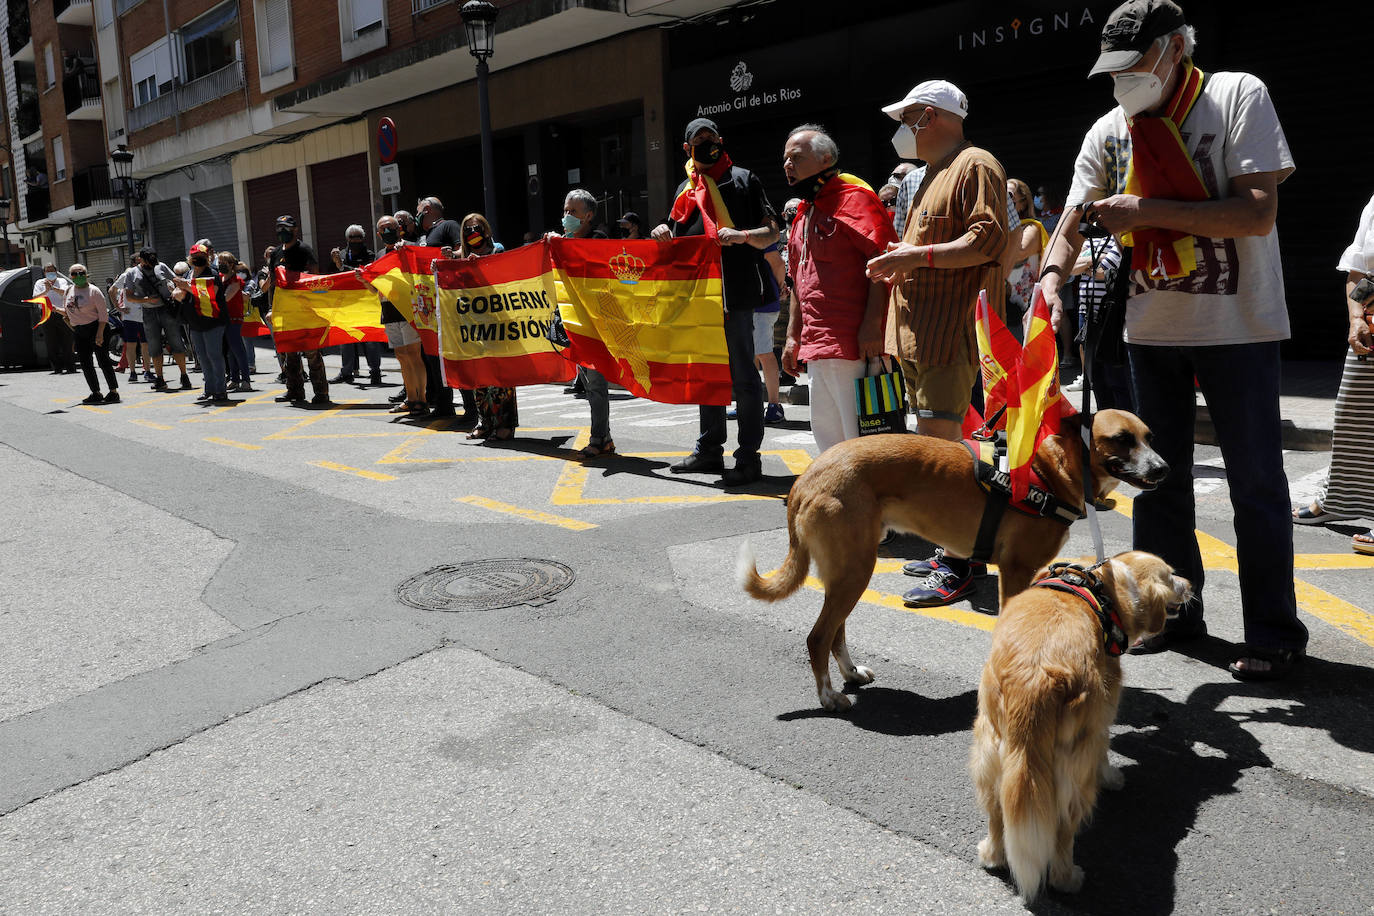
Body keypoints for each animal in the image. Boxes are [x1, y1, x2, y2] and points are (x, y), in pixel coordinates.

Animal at [736, 409, 1165, 714]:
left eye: (1149, 438)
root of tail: (806, 477)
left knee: (834, 632)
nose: (1163, 468)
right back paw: (828, 696)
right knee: (818, 637)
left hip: (846, 572)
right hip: (854, 571)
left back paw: (850, 673)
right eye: (1122, 439)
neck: (1049, 472)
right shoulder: (1016, 570)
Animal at [967, 552, 1192, 900]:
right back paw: (1068, 879)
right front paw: (1112, 777)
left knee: (996, 814)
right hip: (1074, 769)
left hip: (988, 750)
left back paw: (992, 856)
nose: (1191, 584)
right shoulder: (1104, 714)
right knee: (1063, 830)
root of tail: (1035, 678)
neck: (1110, 583)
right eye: (1171, 576)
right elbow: (1105, 751)